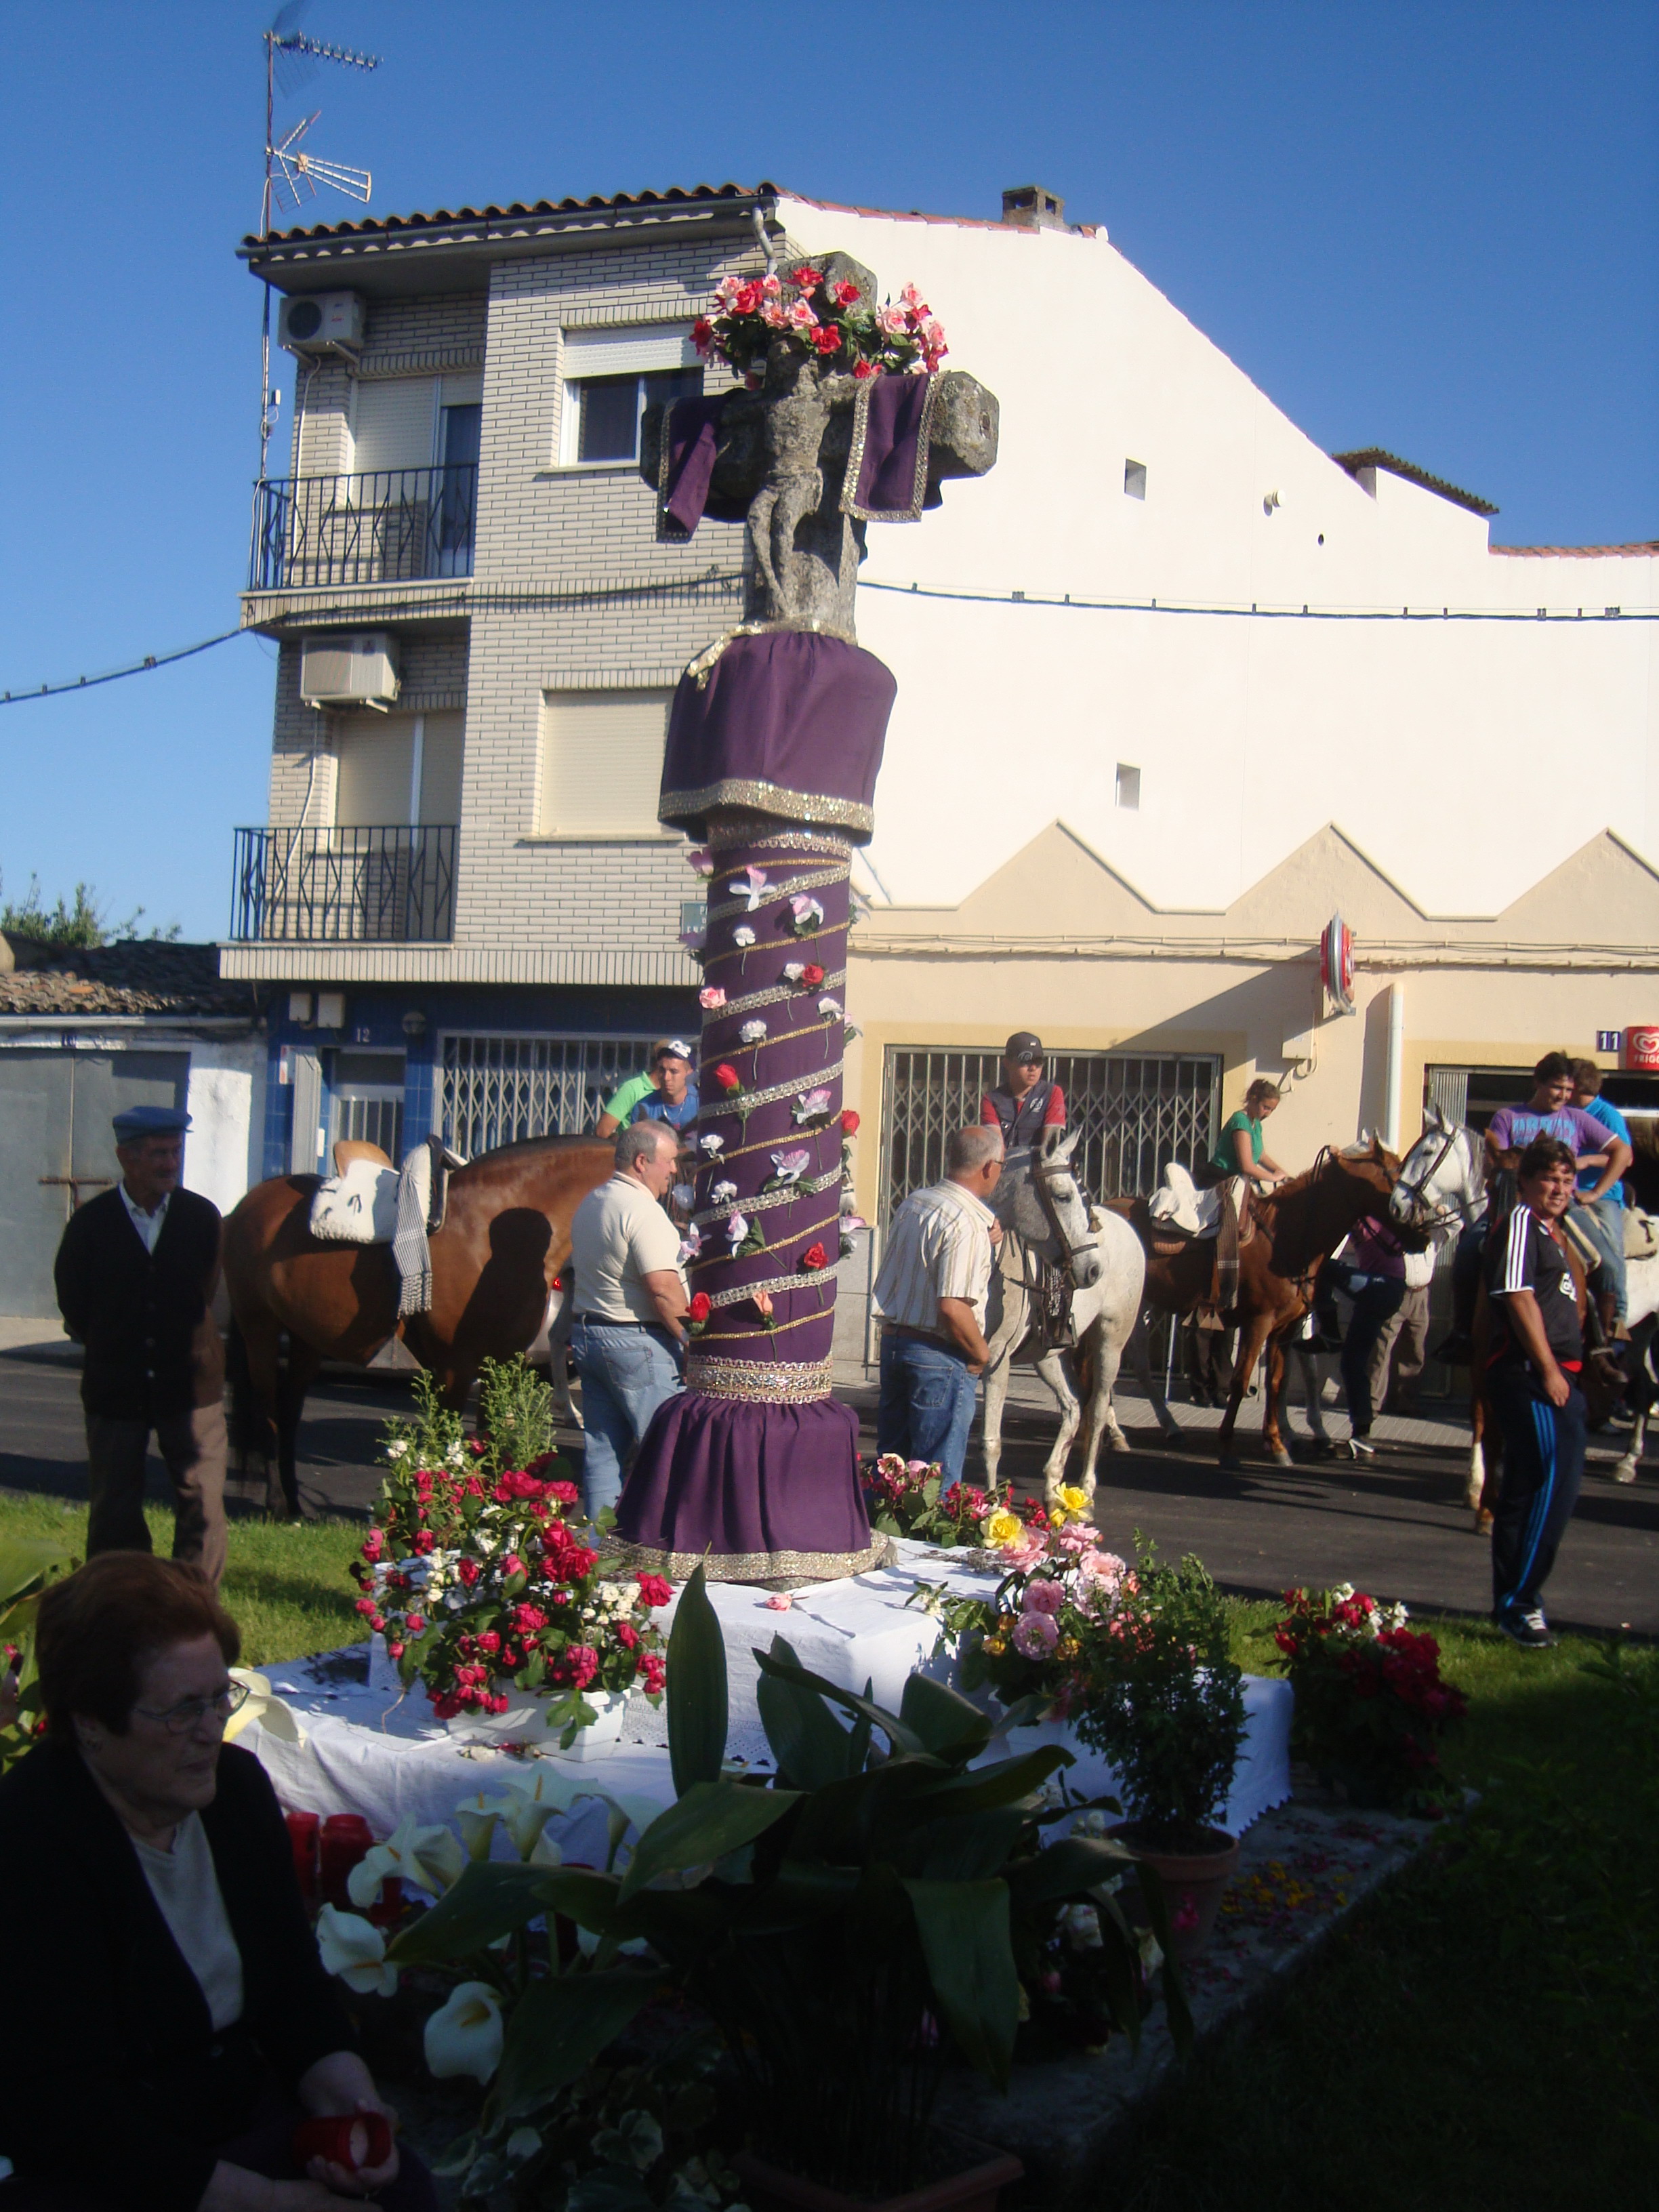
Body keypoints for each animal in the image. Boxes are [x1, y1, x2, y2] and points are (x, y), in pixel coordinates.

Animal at [219, 1132, 610, 1513]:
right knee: (268, 1409)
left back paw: (294, 1504)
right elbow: (451, 1445)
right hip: (260, 1328)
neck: (492, 1229)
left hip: (306, 1338)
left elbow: (486, 1443)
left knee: (289, 1410)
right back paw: (277, 1503)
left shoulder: (496, 1363)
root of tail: (247, 1203)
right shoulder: (455, 1365)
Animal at [986, 1132, 1141, 1513]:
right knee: (1072, 1407)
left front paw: (990, 1508)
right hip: (1049, 1356)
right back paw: (1053, 1484)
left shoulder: (997, 1359)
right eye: (1063, 1195)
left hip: (1110, 1342)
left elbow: (992, 1440)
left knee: (1096, 1409)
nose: (1094, 1269)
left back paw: (1086, 1489)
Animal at [1124, 1141, 1406, 1469]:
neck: (1289, 1235)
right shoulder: (1260, 1322)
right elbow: (1244, 1380)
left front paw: (1282, 1441)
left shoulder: (1288, 1326)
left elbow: (1280, 1381)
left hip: (1139, 1307)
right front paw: (1229, 1447)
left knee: (1135, 1365)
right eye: (1398, 1172)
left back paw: (1160, 1428)